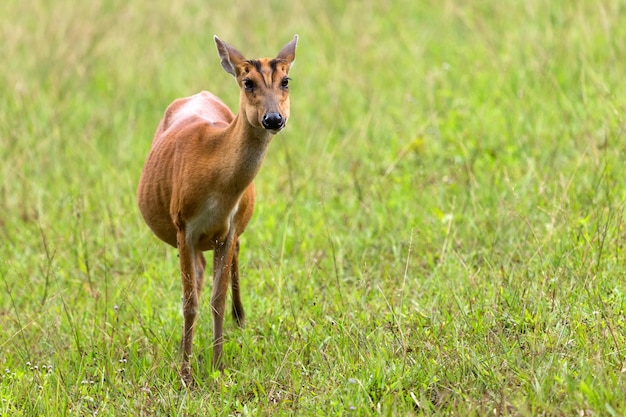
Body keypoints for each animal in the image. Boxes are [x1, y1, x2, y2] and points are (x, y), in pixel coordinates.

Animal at [138, 35, 298, 384]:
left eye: (286, 80)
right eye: (248, 82)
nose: (273, 119)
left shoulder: (228, 228)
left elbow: (217, 300)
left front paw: (218, 367)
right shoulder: (183, 225)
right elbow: (189, 302)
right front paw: (185, 373)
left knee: (229, 257)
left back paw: (240, 318)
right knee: (197, 275)